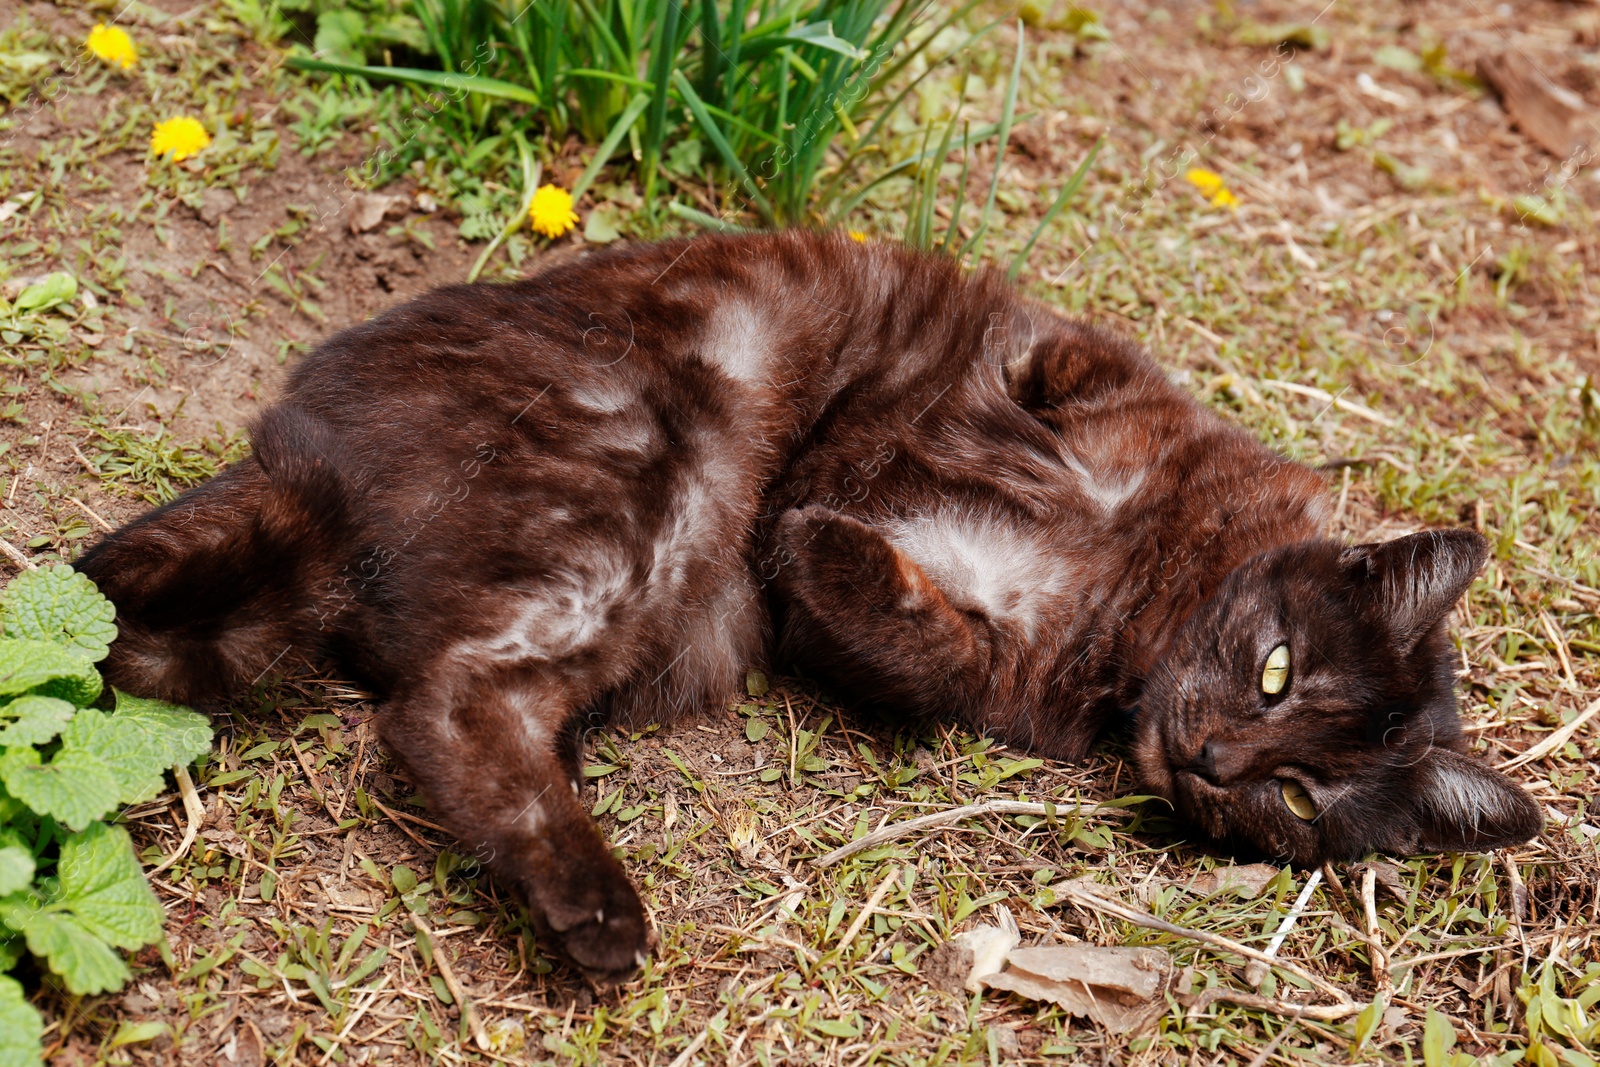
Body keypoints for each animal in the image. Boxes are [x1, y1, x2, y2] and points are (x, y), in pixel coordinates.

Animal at [75, 230, 1536, 979]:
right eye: (1279, 667)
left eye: (1299, 798)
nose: (1217, 759)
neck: (1140, 591)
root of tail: (312, 468)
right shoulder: (1085, 389)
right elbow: (1036, 369)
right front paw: (960, 423)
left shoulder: (996, 668)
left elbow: (916, 641)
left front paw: (827, 538)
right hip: (660, 460)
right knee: (431, 697)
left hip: (630, 567)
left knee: (442, 705)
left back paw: (593, 914)